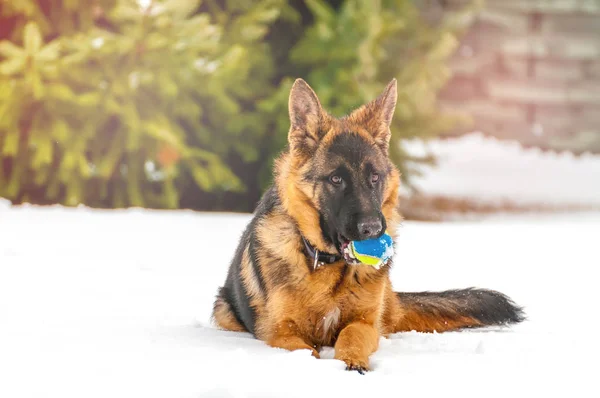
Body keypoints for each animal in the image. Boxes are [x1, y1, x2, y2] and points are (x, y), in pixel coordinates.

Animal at [212, 78, 524, 374]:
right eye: (336, 179)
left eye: (374, 177)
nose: (372, 229)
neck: (329, 267)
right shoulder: (280, 333)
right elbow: (306, 351)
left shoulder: (365, 323)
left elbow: (352, 335)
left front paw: (353, 362)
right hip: (222, 310)